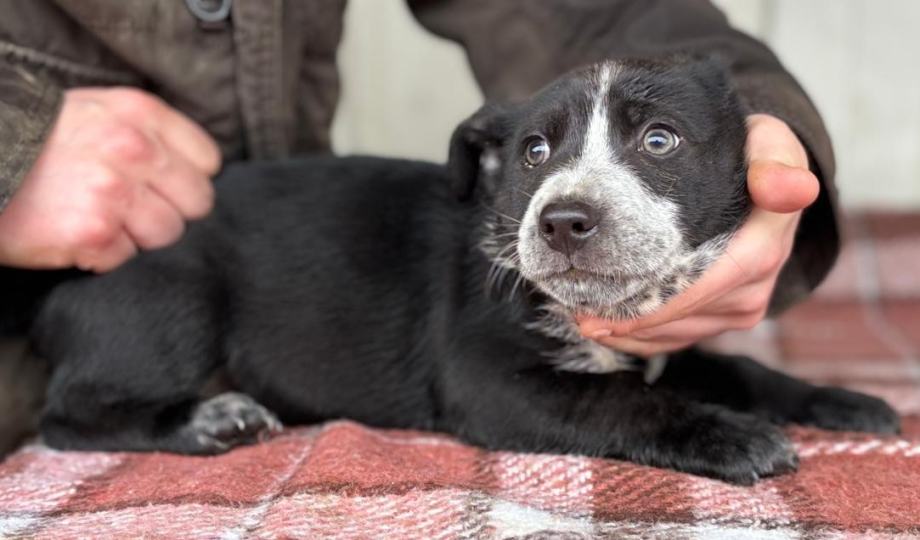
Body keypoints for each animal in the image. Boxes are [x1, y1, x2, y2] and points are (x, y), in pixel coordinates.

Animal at [1, 57, 898, 485]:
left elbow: (739, 369)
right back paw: (204, 421)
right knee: (68, 417)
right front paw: (732, 436)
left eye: (660, 141)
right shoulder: (489, 379)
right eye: (533, 152)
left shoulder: (664, 345)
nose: (562, 220)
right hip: (170, 298)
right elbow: (618, 402)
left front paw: (838, 401)